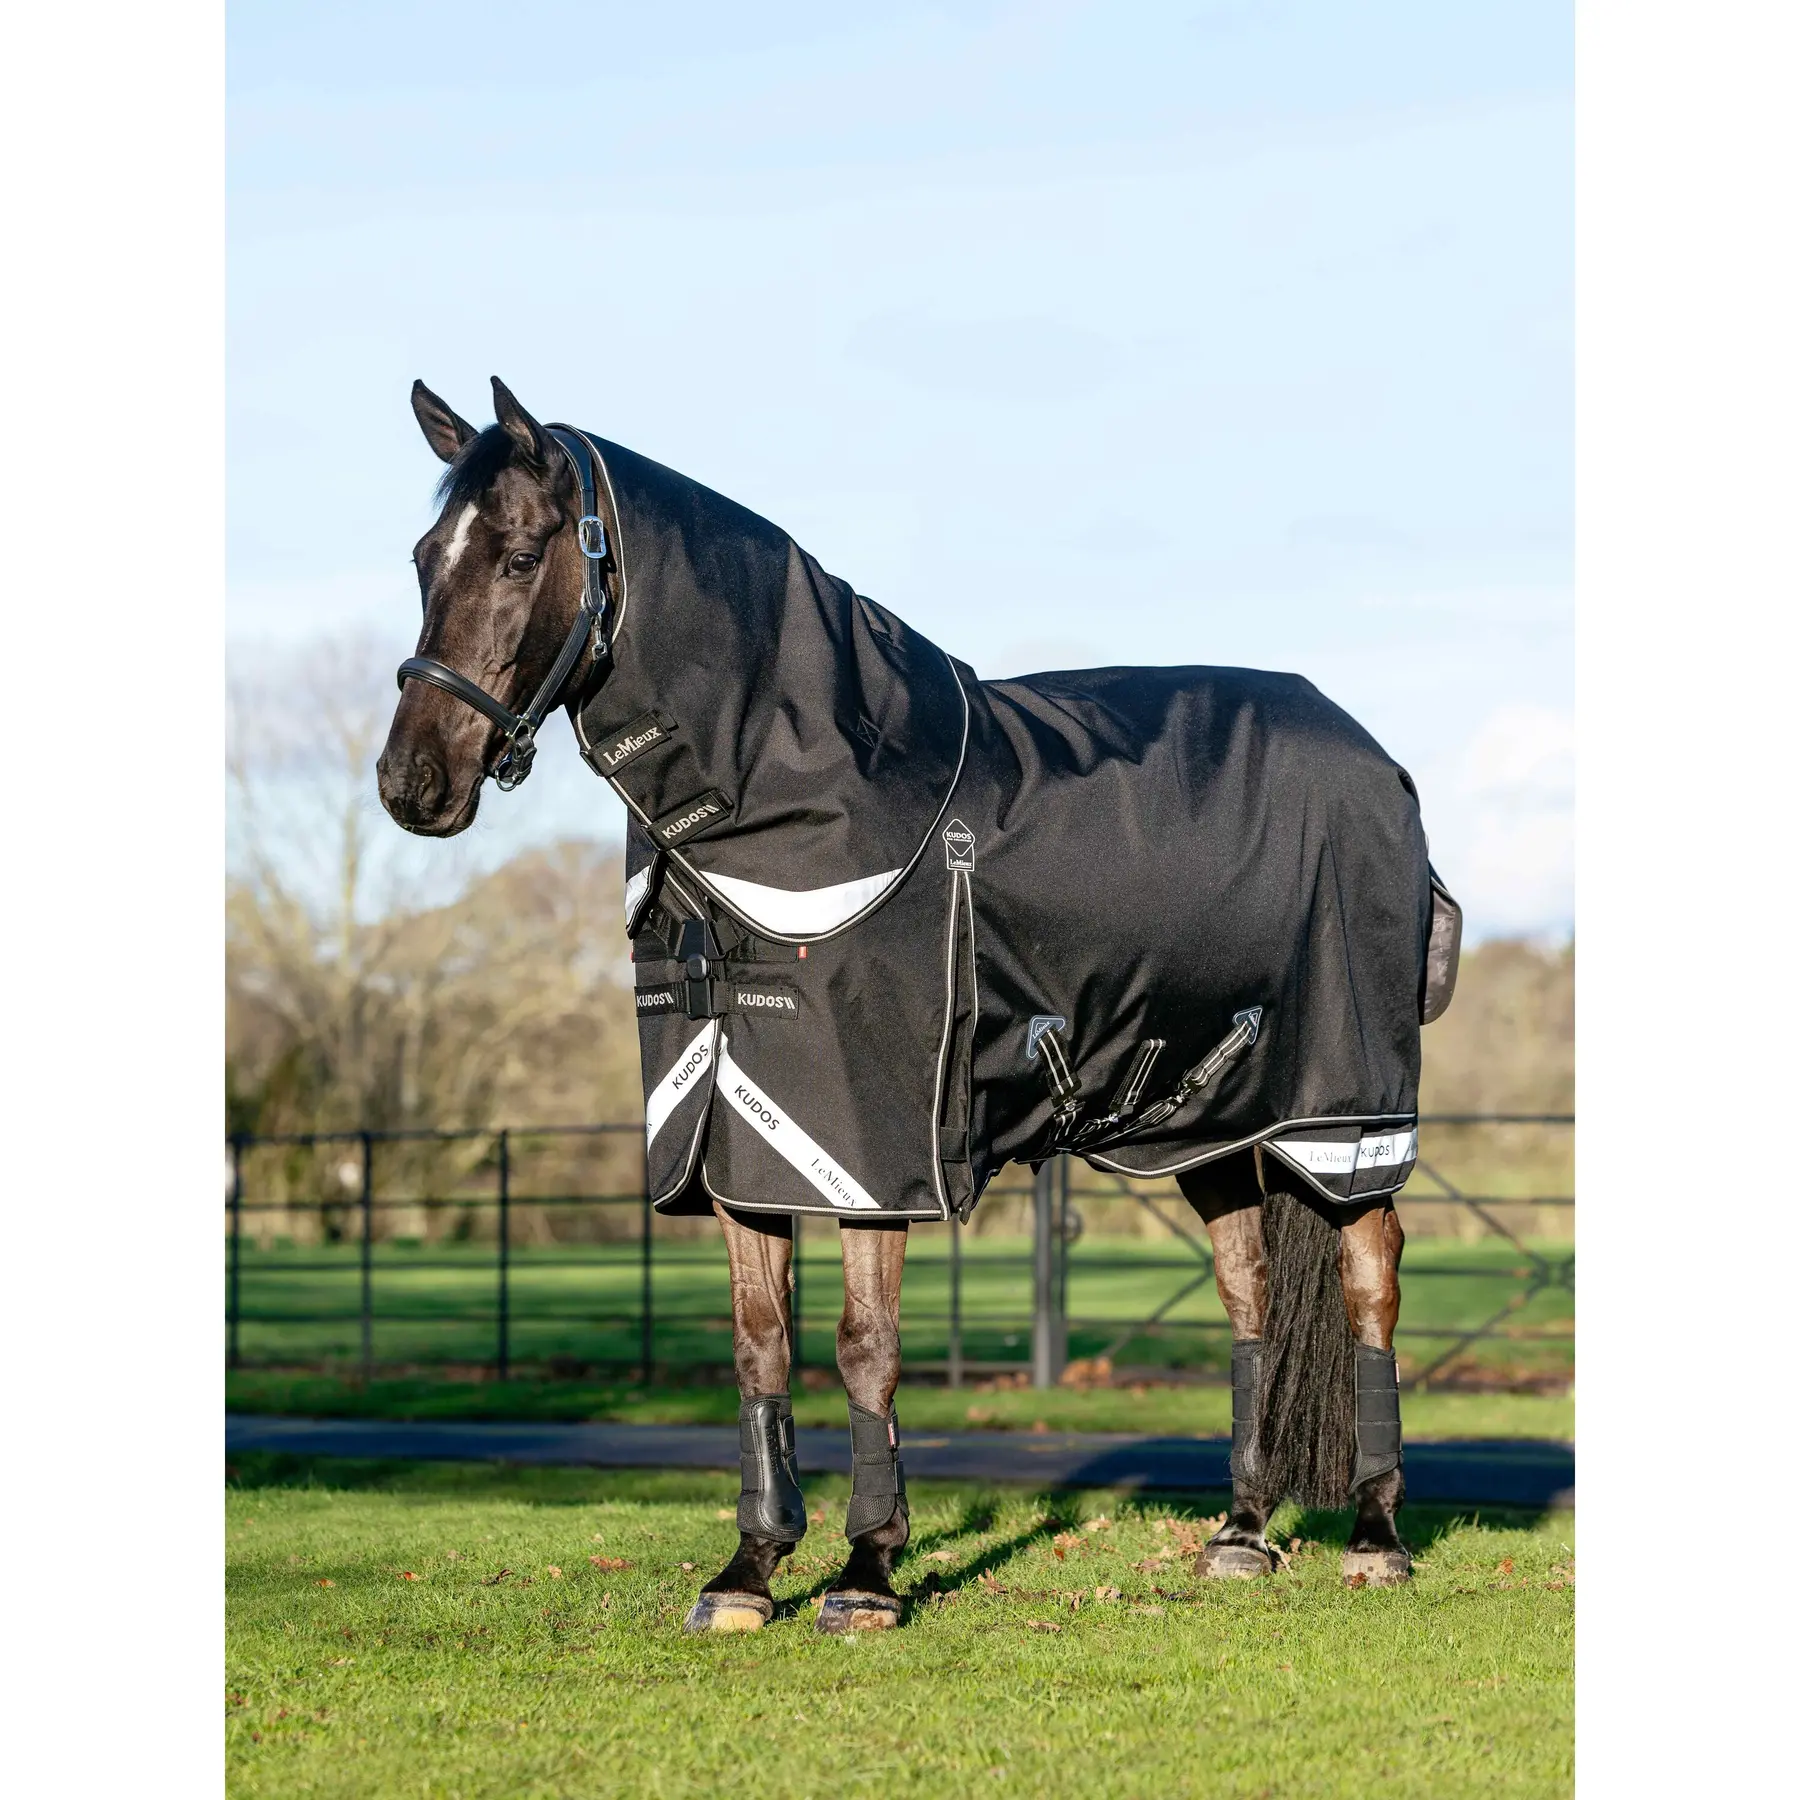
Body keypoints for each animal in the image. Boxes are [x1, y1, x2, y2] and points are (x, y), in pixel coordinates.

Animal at [378, 376, 1460, 1633]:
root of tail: (1383, 769)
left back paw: (1377, 1536)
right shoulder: (737, 1140)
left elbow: (865, 1346)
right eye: (425, 557)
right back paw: (1238, 1534)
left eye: (515, 555)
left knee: (1371, 1281)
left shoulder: (869, 1151)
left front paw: (867, 1573)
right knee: (1248, 1292)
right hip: (1216, 1121)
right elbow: (759, 1348)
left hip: (1343, 1117)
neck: (805, 796)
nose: (411, 784)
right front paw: (748, 1572)